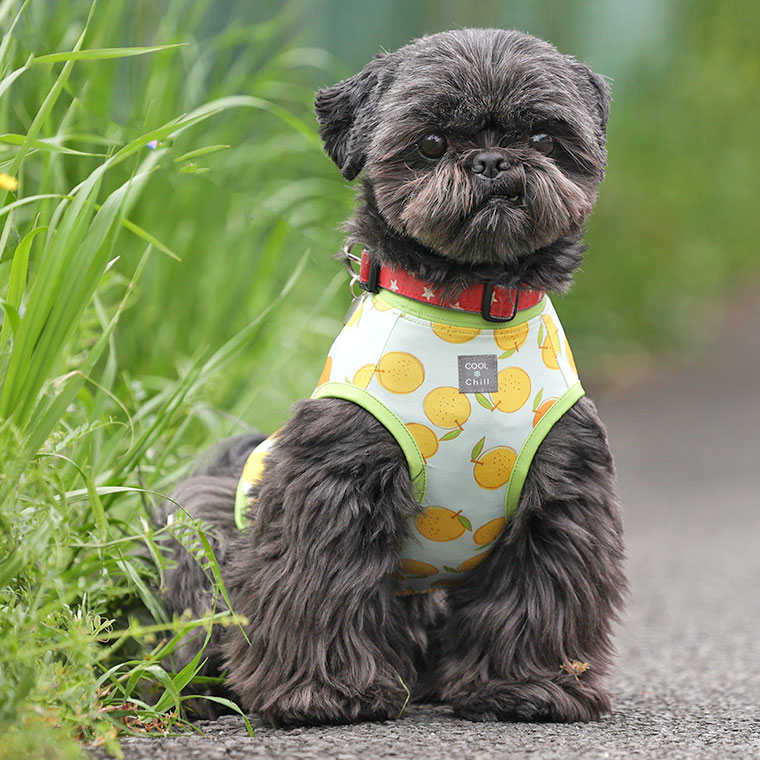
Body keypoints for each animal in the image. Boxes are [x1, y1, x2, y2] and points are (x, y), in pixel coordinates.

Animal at [159, 29, 624, 728]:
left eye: (543, 138)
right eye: (430, 143)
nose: (493, 161)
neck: (471, 313)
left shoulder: (562, 491)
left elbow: (538, 593)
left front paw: (529, 686)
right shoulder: (336, 479)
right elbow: (321, 584)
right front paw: (325, 693)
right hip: (206, 527)